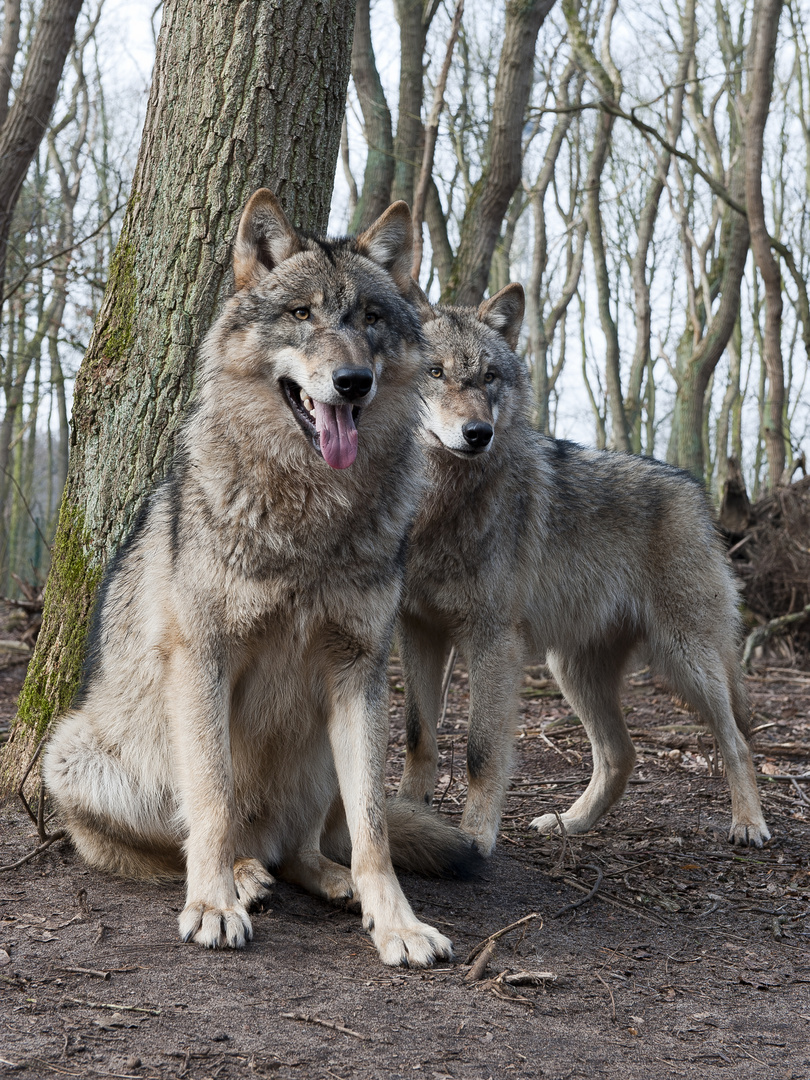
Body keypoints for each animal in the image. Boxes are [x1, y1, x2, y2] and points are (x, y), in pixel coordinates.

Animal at [44, 190, 475, 967]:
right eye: (302, 314)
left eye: (370, 318)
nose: (353, 382)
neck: (310, 512)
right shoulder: (205, 659)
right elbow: (212, 800)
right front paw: (213, 905)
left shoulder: (360, 670)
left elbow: (375, 828)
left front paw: (398, 922)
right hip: (76, 757)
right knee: (192, 841)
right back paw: (240, 877)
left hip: (321, 751)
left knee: (306, 847)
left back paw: (332, 882)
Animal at [397, 282, 768, 855]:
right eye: (434, 372)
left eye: (490, 376)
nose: (478, 433)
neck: (439, 507)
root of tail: (692, 486)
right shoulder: (417, 630)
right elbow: (418, 736)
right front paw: (406, 820)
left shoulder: (491, 640)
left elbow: (481, 751)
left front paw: (475, 837)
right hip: (572, 671)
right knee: (621, 755)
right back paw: (569, 823)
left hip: (688, 659)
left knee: (738, 740)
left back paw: (749, 823)